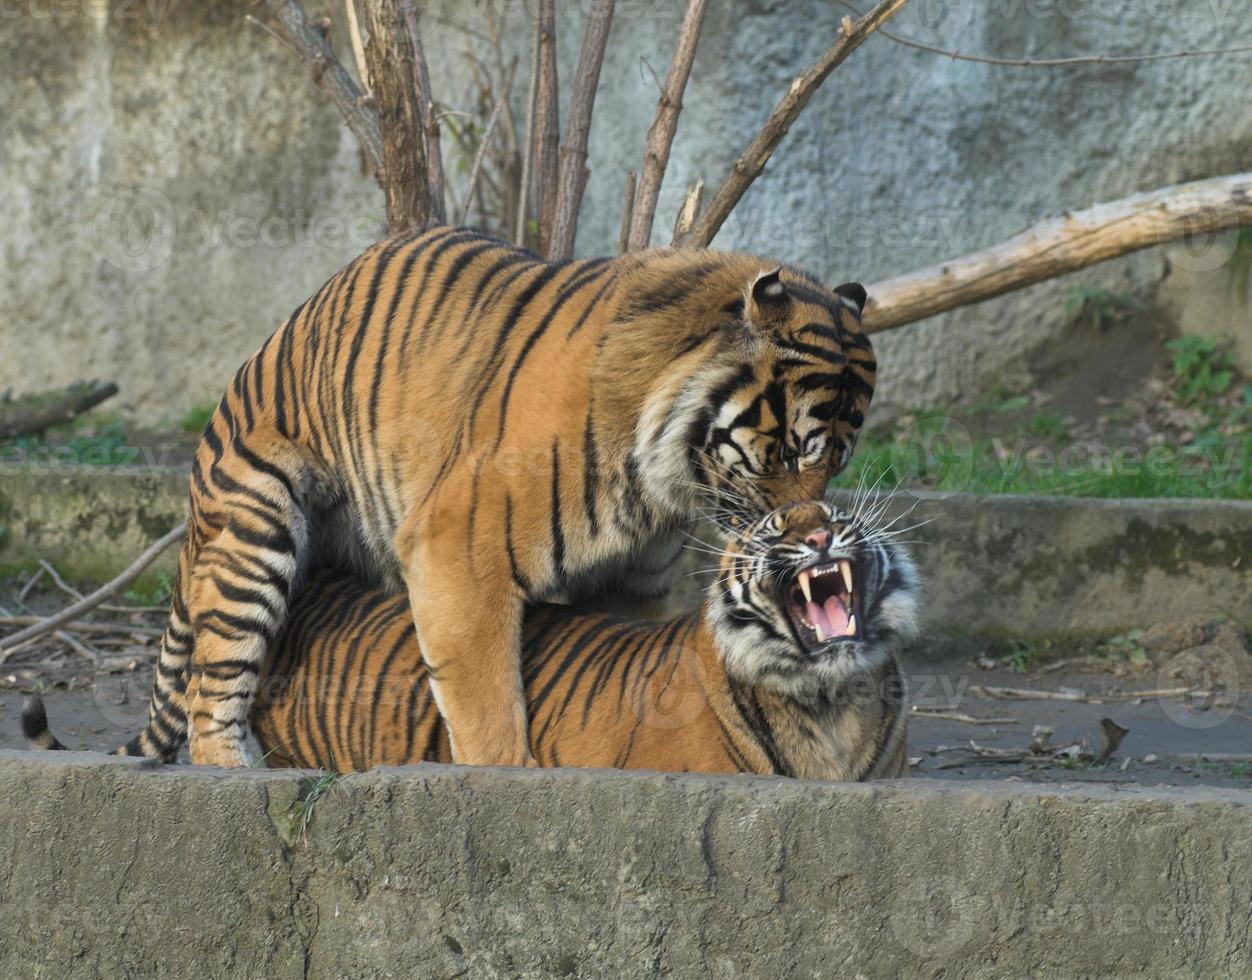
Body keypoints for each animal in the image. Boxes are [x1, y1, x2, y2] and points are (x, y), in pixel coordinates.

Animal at [119, 226, 881, 770]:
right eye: (793, 451)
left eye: (839, 460)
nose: (814, 530)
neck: (661, 478)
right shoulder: (459, 552)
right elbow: (486, 701)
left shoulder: (635, 581)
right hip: (256, 521)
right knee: (212, 685)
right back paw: (232, 766)